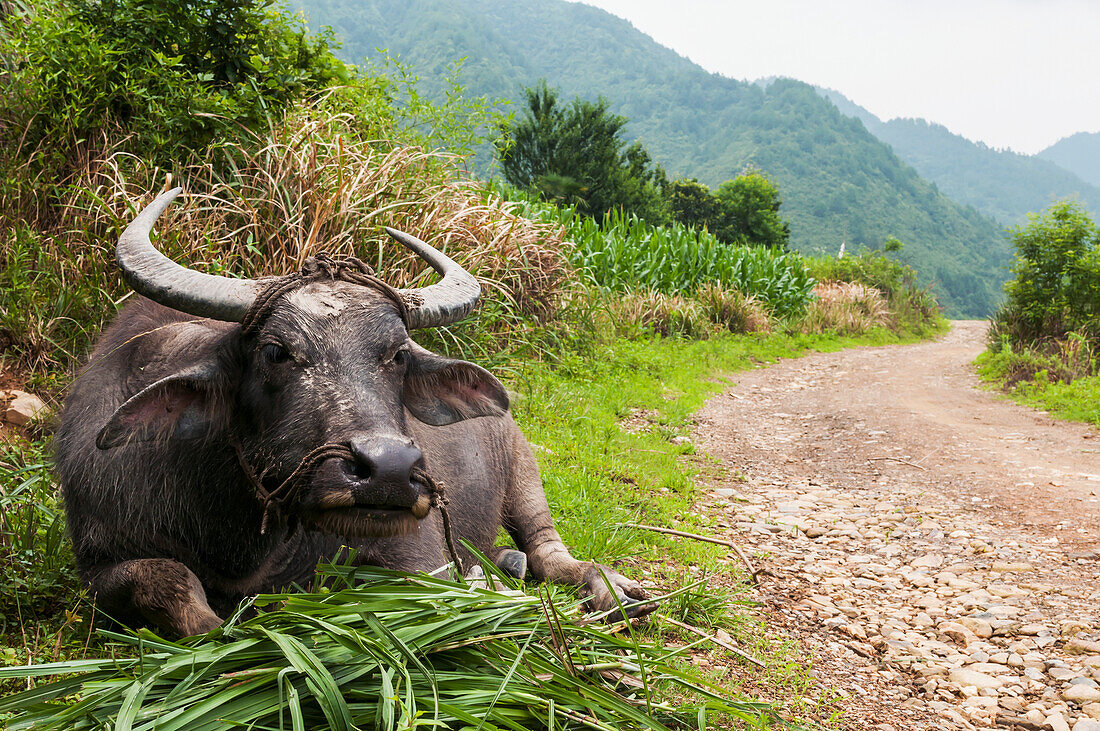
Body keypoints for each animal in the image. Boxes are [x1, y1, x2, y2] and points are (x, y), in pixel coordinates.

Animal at [58, 189, 642, 637]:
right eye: (275, 351)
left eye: (399, 355)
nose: (388, 470)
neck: (240, 536)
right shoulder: (97, 558)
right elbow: (169, 581)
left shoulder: (421, 555)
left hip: (525, 472)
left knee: (548, 551)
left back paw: (613, 590)